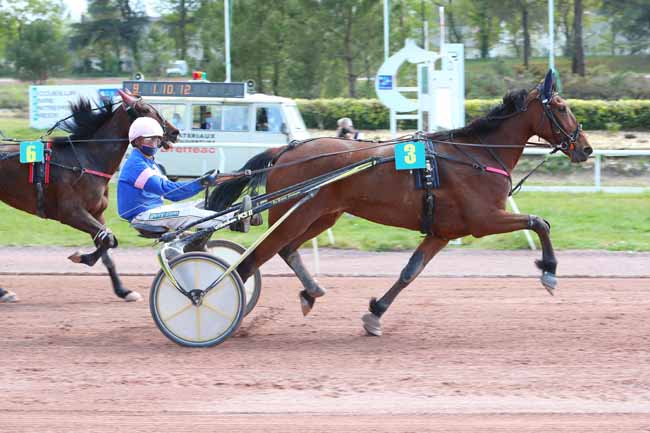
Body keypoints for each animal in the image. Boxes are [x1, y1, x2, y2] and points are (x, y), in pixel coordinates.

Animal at [0, 89, 179, 303]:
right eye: (145, 110)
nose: (174, 132)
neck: (87, 160)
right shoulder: (71, 213)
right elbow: (109, 239)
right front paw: (82, 257)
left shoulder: (96, 213)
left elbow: (107, 244)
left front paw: (123, 290)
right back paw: (4, 292)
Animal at [207, 70, 592, 336]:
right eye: (562, 107)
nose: (586, 148)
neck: (477, 154)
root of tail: (287, 149)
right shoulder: (484, 219)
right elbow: (539, 221)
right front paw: (549, 272)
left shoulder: (441, 232)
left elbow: (410, 271)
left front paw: (375, 313)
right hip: (298, 214)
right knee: (254, 259)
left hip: (322, 215)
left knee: (285, 250)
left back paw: (311, 291)